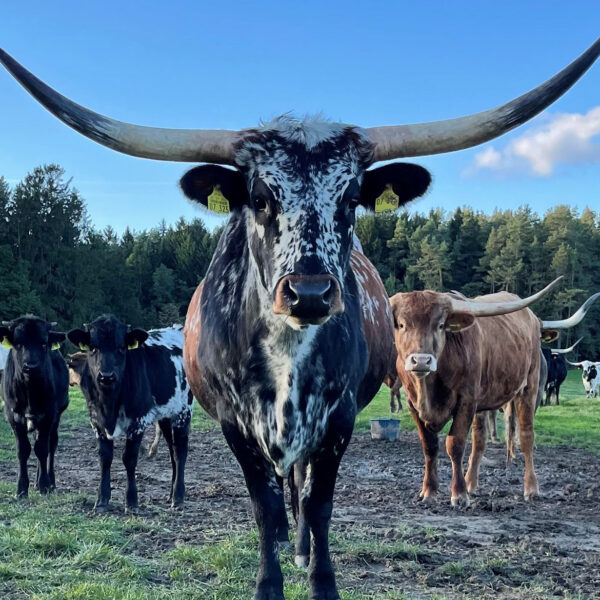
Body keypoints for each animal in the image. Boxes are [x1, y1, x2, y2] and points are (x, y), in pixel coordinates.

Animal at [0, 316, 68, 494]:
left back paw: (50, 481)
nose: (31, 366)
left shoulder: (49, 415)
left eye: (43, 343)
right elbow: (23, 450)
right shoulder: (13, 416)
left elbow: (42, 449)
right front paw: (22, 488)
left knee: (52, 444)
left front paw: (44, 484)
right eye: (17, 343)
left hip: (57, 415)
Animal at [67, 316, 192, 512]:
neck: (109, 402)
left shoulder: (138, 421)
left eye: (121, 347)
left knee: (180, 449)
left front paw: (132, 501)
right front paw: (101, 500)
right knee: (172, 450)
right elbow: (105, 458)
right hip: (166, 415)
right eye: (93, 347)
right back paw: (171, 494)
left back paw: (178, 497)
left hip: (184, 410)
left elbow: (129, 458)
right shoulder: (96, 421)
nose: (106, 376)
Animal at [392, 282, 564, 506]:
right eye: (402, 324)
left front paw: (459, 494)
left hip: (530, 387)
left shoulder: (466, 400)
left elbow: (455, 445)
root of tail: (533, 319)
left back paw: (531, 488)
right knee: (479, 440)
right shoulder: (412, 404)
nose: (421, 361)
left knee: (526, 436)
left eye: (440, 325)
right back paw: (471, 483)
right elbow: (429, 447)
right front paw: (429, 491)